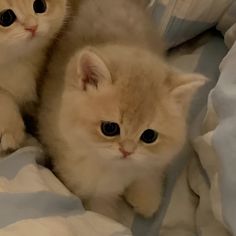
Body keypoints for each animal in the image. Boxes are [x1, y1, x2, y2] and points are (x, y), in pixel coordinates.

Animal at [38, 0, 205, 223]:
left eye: (149, 136)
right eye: (109, 128)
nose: (127, 151)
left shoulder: (154, 160)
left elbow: (148, 173)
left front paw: (146, 199)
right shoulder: (89, 184)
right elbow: (102, 210)